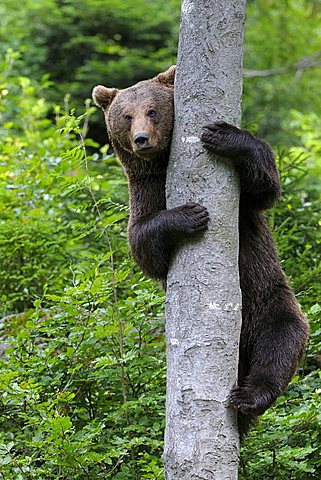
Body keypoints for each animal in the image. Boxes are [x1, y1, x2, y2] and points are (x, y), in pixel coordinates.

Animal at [92, 67, 308, 438]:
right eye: (126, 116)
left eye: (152, 110)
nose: (141, 139)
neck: (163, 164)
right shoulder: (145, 189)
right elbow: (143, 245)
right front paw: (189, 215)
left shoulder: (246, 205)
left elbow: (264, 186)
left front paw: (224, 136)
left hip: (271, 299)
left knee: (281, 342)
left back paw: (249, 396)